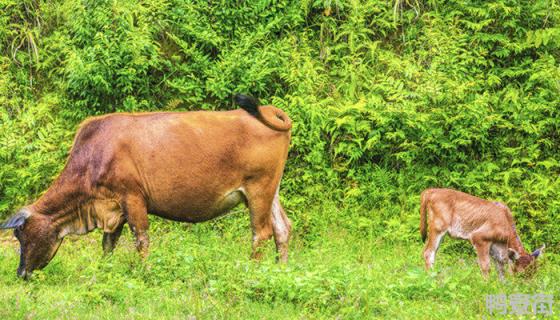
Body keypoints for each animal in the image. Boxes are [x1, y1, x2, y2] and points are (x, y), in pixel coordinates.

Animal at [1, 94, 294, 278]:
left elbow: (141, 240)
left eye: (21, 235)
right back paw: (281, 270)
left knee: (261, 232)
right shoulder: (114, 208)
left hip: (258, 189)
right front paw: (104, 272)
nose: (21, 272)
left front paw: (145, 272)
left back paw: (253, 271)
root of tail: (269, 110)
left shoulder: (132, 198)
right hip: (271, 190)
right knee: (282, 228)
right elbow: (108, 244)